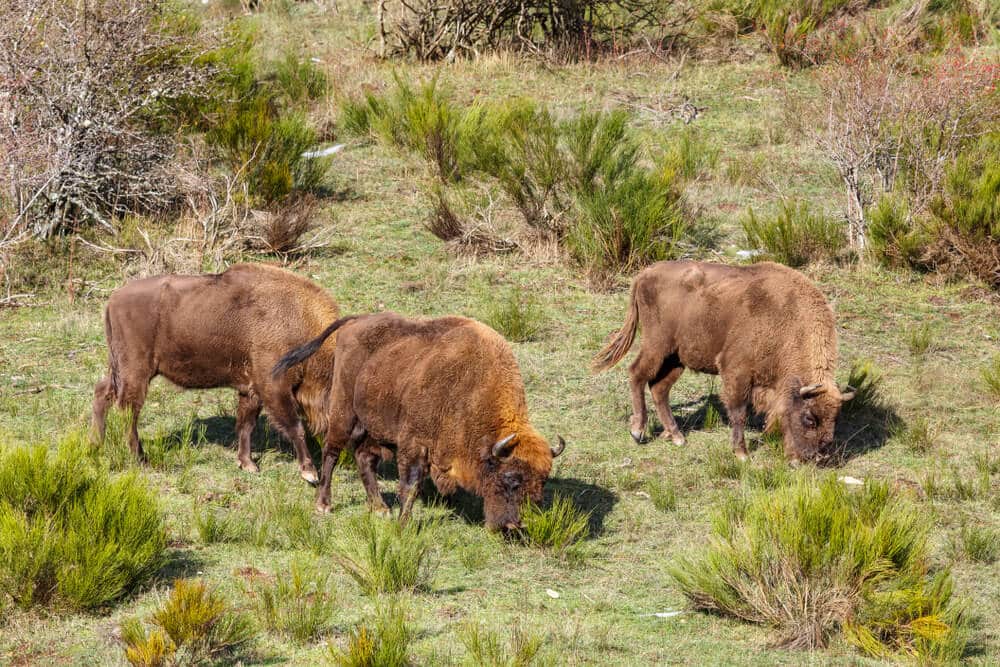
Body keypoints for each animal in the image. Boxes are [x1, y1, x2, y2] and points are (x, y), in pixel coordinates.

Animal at [94, 260, 344, 480]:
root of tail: (113, 299)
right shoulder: (273, 388)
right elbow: (295, 426)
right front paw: (309, 473)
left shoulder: (251, 389)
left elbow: (246, 425)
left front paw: (247, 463)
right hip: (136, 372)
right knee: (128, 410)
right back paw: (139, 458)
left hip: (119, 369)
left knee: (103, 393)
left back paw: (96, 443)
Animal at [274, 314, 568, 532]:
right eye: (510, 479)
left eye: (542, 482)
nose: (518, 525)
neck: (472, 391)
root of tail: (356, 320)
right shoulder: (415, 445)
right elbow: (411, 486)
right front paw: (403, 526)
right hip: (343, 411)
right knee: (332, 452)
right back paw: (324, 504)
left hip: (374, 427)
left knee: (364, 459)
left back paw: (380, 509)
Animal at [588, 260, 856, 464]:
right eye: (809, 418)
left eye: (835, 418)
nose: (816, 458)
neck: (788, 321)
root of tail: (644, 274)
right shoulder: (736, 371)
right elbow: (738, 412)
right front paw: (742, 454)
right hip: (657, 346)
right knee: (637, 374)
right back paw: (638, 431)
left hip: (676, 359)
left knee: (659, 388)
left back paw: (676, 437)